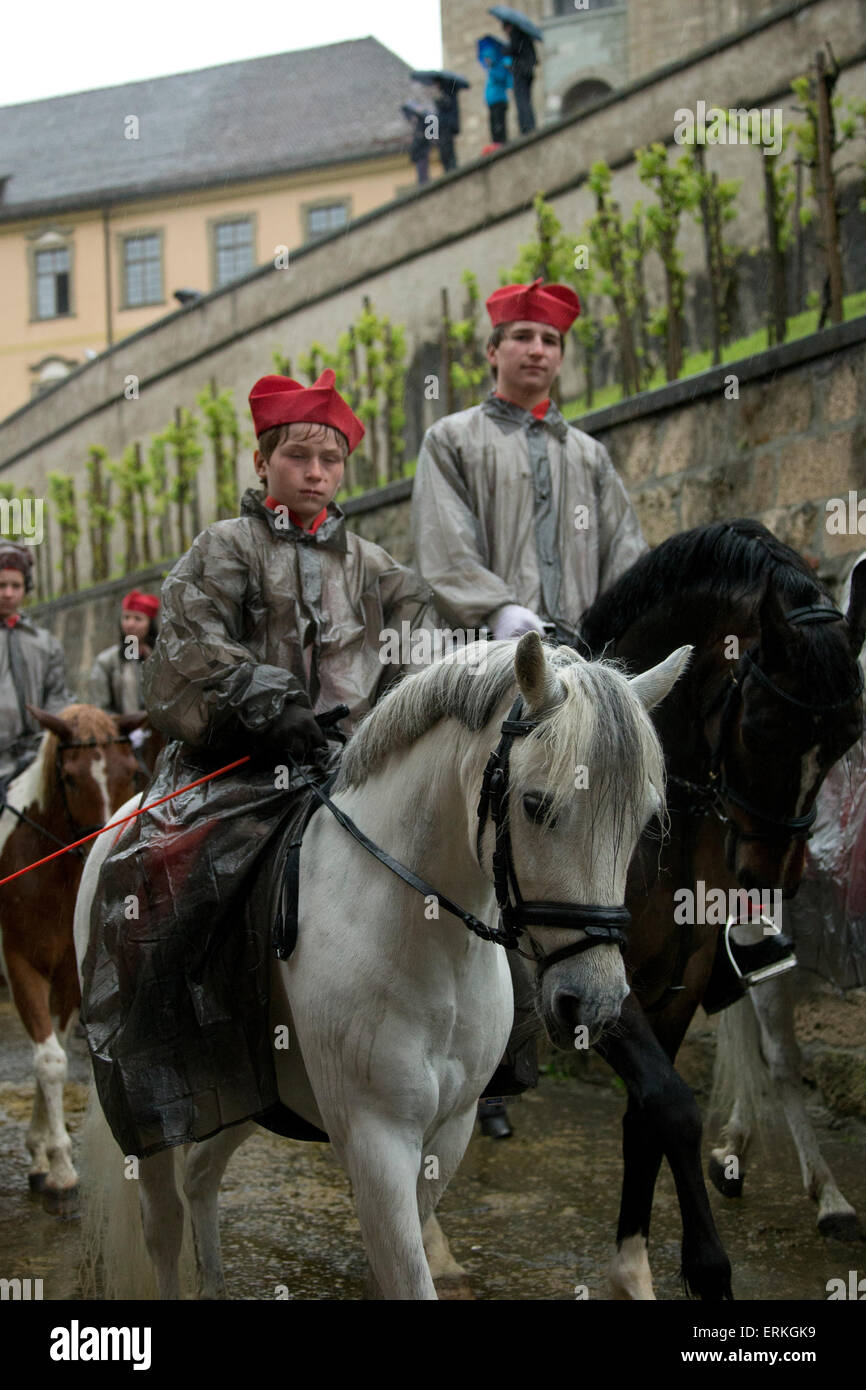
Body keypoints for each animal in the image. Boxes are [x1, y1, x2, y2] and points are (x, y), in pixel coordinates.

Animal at [0, 700, 140, 1212]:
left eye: (131, 771)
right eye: (72, 778)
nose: (104, 849)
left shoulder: (64, 974)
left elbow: (53, 1051)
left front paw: (43, 1153)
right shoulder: (19, 964)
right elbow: (49, 1061)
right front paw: (60, 1166)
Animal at [76, 636, 692, 1295]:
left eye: (645, 818)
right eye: (536, 804)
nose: (594, 1003)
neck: (426, 942)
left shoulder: (449, 1131)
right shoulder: (377, 1140)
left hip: (249, 1086)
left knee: (201, 1176)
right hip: (161, 1102)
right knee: (163, 1222)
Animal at [575, 517, 866, 1295]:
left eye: (846, 740)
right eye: (761, 726)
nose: (769, 878)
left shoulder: (677, 988)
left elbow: (648, 1115)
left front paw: (633, 1269)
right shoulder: (598, 983)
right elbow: (672, 1107)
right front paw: (704, 1267)